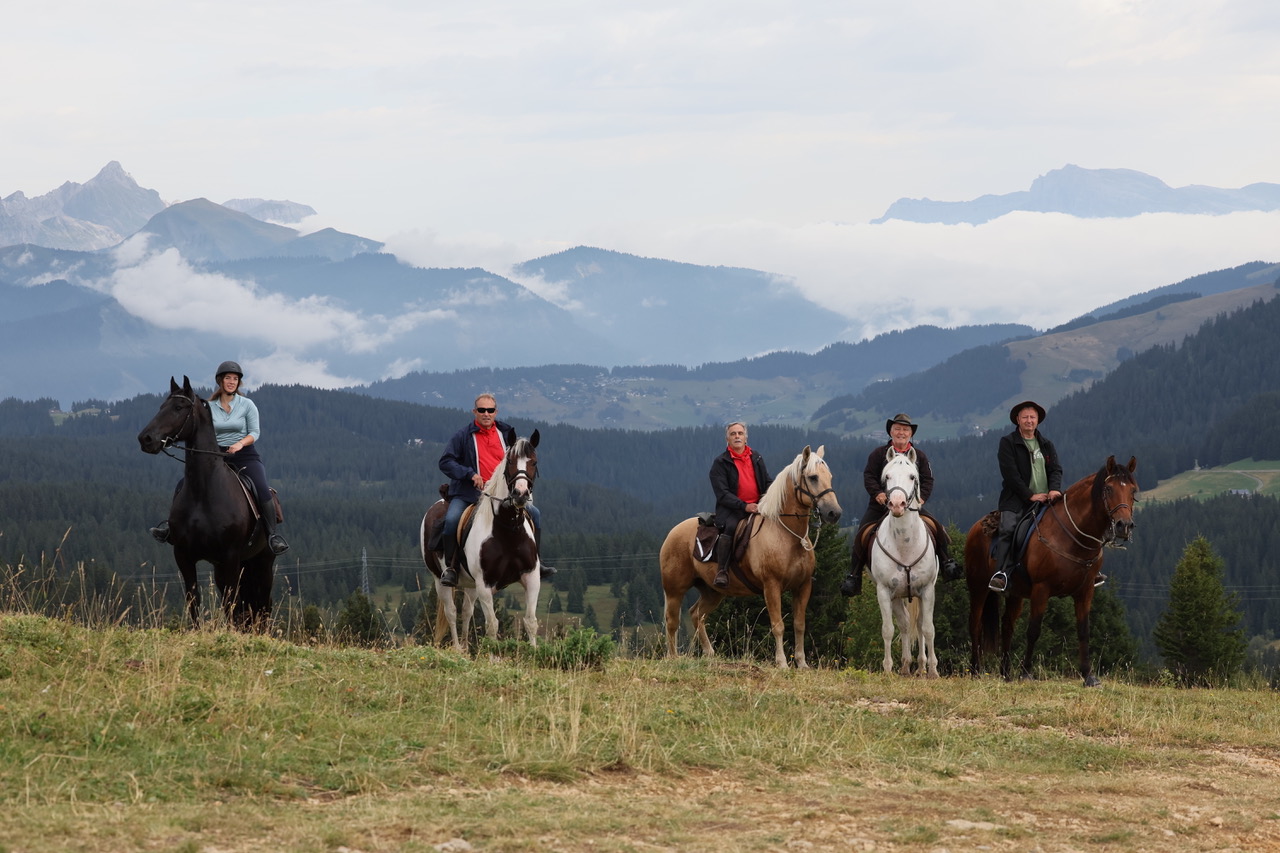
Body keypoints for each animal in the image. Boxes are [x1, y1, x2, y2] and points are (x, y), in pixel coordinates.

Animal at [135, 376, 275, 625]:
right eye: (161, 407)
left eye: (178, 408)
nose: (146, 439)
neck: (204, 492)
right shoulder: (184, 556)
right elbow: (194, 600)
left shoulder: (230, 557)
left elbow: (230, 603)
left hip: (263, 563)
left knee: (263, 605)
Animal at [419, 427, 540, 648]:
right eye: (509, 461)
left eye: (533, 462)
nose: (520, 494)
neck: (507, 529)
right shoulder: (485, 585)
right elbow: (492, 625)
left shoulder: (532, 577)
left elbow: (530, 621)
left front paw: (536, 654)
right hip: (440, 580)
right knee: (452, 612)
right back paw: (458, 649)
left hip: (470, 585)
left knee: (466, 611)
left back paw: (466, 647)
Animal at [665, 440, 844, 666]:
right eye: (813, 477)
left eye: (829, 476)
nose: (834, 513)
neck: (786, 534)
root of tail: (672, 532)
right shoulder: (772, 586)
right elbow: (778, 626)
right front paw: (782, 663)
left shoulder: (803, 587)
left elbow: (799, 625)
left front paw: (802, 664)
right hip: (674, 590)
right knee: (672, 621)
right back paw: (673, 658)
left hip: (712, 592)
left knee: (697, 614)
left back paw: (709, 653)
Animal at [870, 448, 942, 676]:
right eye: (887, 477)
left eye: (912, 477)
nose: (896, 504)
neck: (905, 544)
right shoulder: (884, 592)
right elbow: (888, 630)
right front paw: (887, 669)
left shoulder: (927, 590)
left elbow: (928, 628)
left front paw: (933, 670)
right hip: (897, 597)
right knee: (904, 624)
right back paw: (906, 666)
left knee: (918, 625)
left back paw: (921, 666)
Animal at [962, 450, 1136, 686]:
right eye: (1109, 489)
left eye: (1133, 490)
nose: (1123, 526)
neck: (1071, 535)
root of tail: (975, 528)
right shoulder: (1041, 590)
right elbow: (1034, 630)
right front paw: (1026, 672)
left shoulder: (1085, 592)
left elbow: (1084, 631)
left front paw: (1088, 675)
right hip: (978, 587)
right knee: (975, 624)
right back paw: (975, 670)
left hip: (1015, 594)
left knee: (1007, 626)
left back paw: (1006, 673)